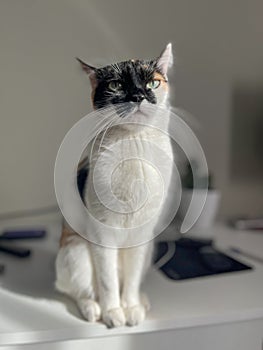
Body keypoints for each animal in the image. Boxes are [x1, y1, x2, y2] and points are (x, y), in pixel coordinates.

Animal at [55, 44, 175, 328]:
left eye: (153, 82)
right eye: (117, 85)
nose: (139, 95)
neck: (135, 145)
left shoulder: (142, 237)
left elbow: (130, 279)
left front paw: (130, 307)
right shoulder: (102, 234)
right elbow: (108, 281)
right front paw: (113, 312)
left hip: (149, 249)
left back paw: (141, 301)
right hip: (75, 252)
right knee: (78, 290)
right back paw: (93, 308)